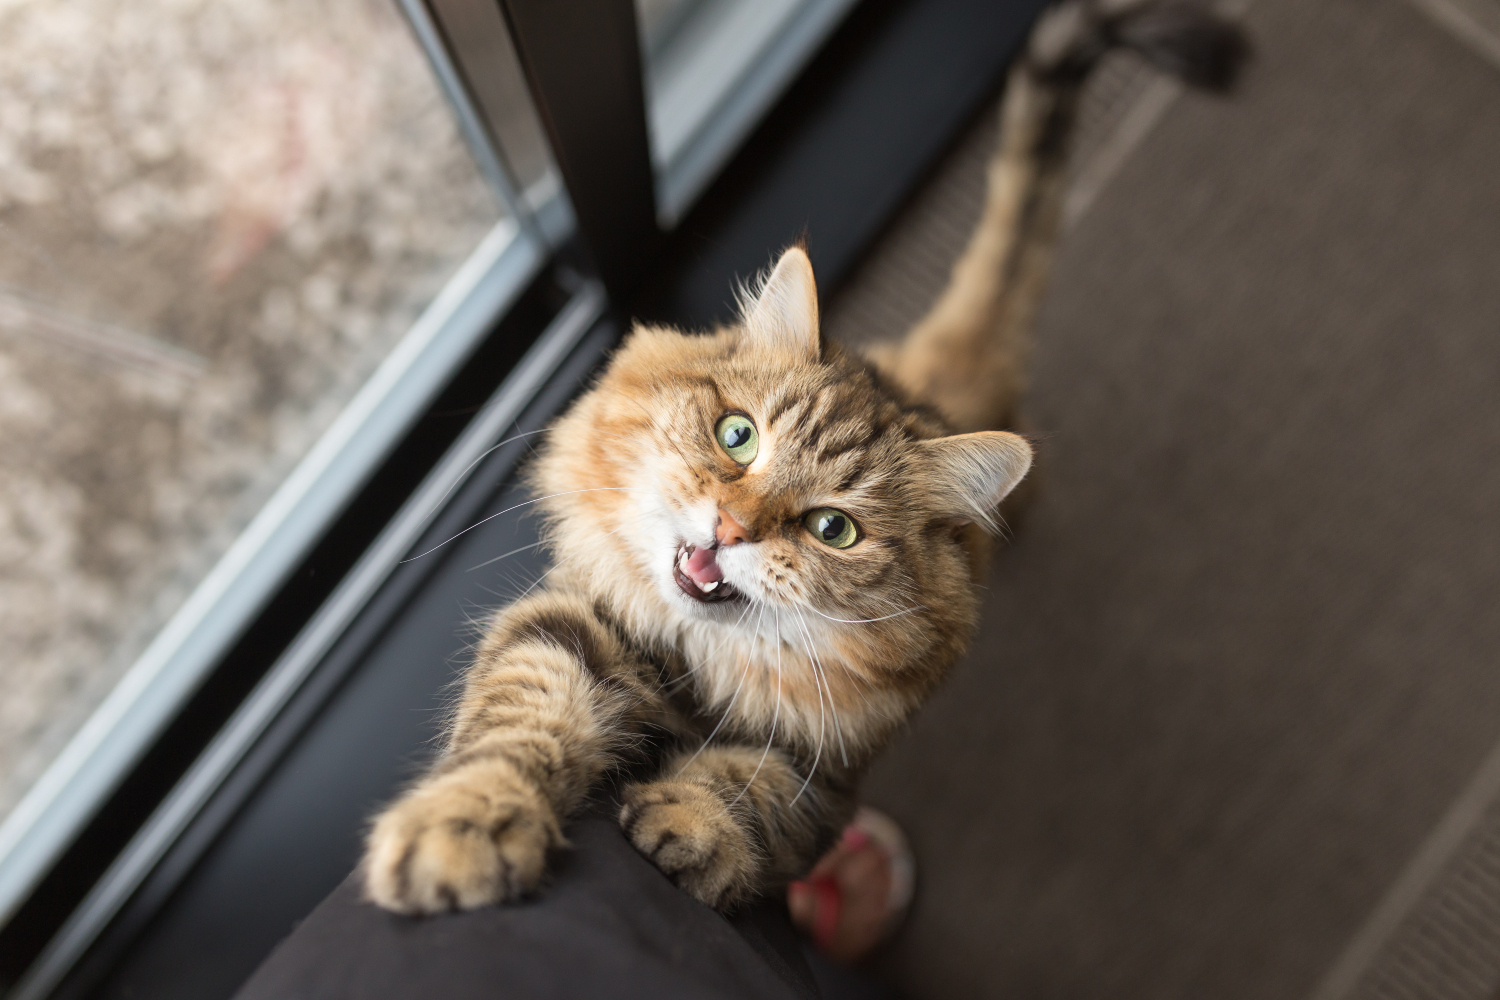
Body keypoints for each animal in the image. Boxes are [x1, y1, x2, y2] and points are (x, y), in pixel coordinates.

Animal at [360, 0, 1242, 917]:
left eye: (833, 529)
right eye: (737, 436)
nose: (730, 526)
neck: (696, 672)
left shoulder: (831, 776)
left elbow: (752, 791)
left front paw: (687, 824)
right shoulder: (570, 623)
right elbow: (521, 719)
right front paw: (464, 829)